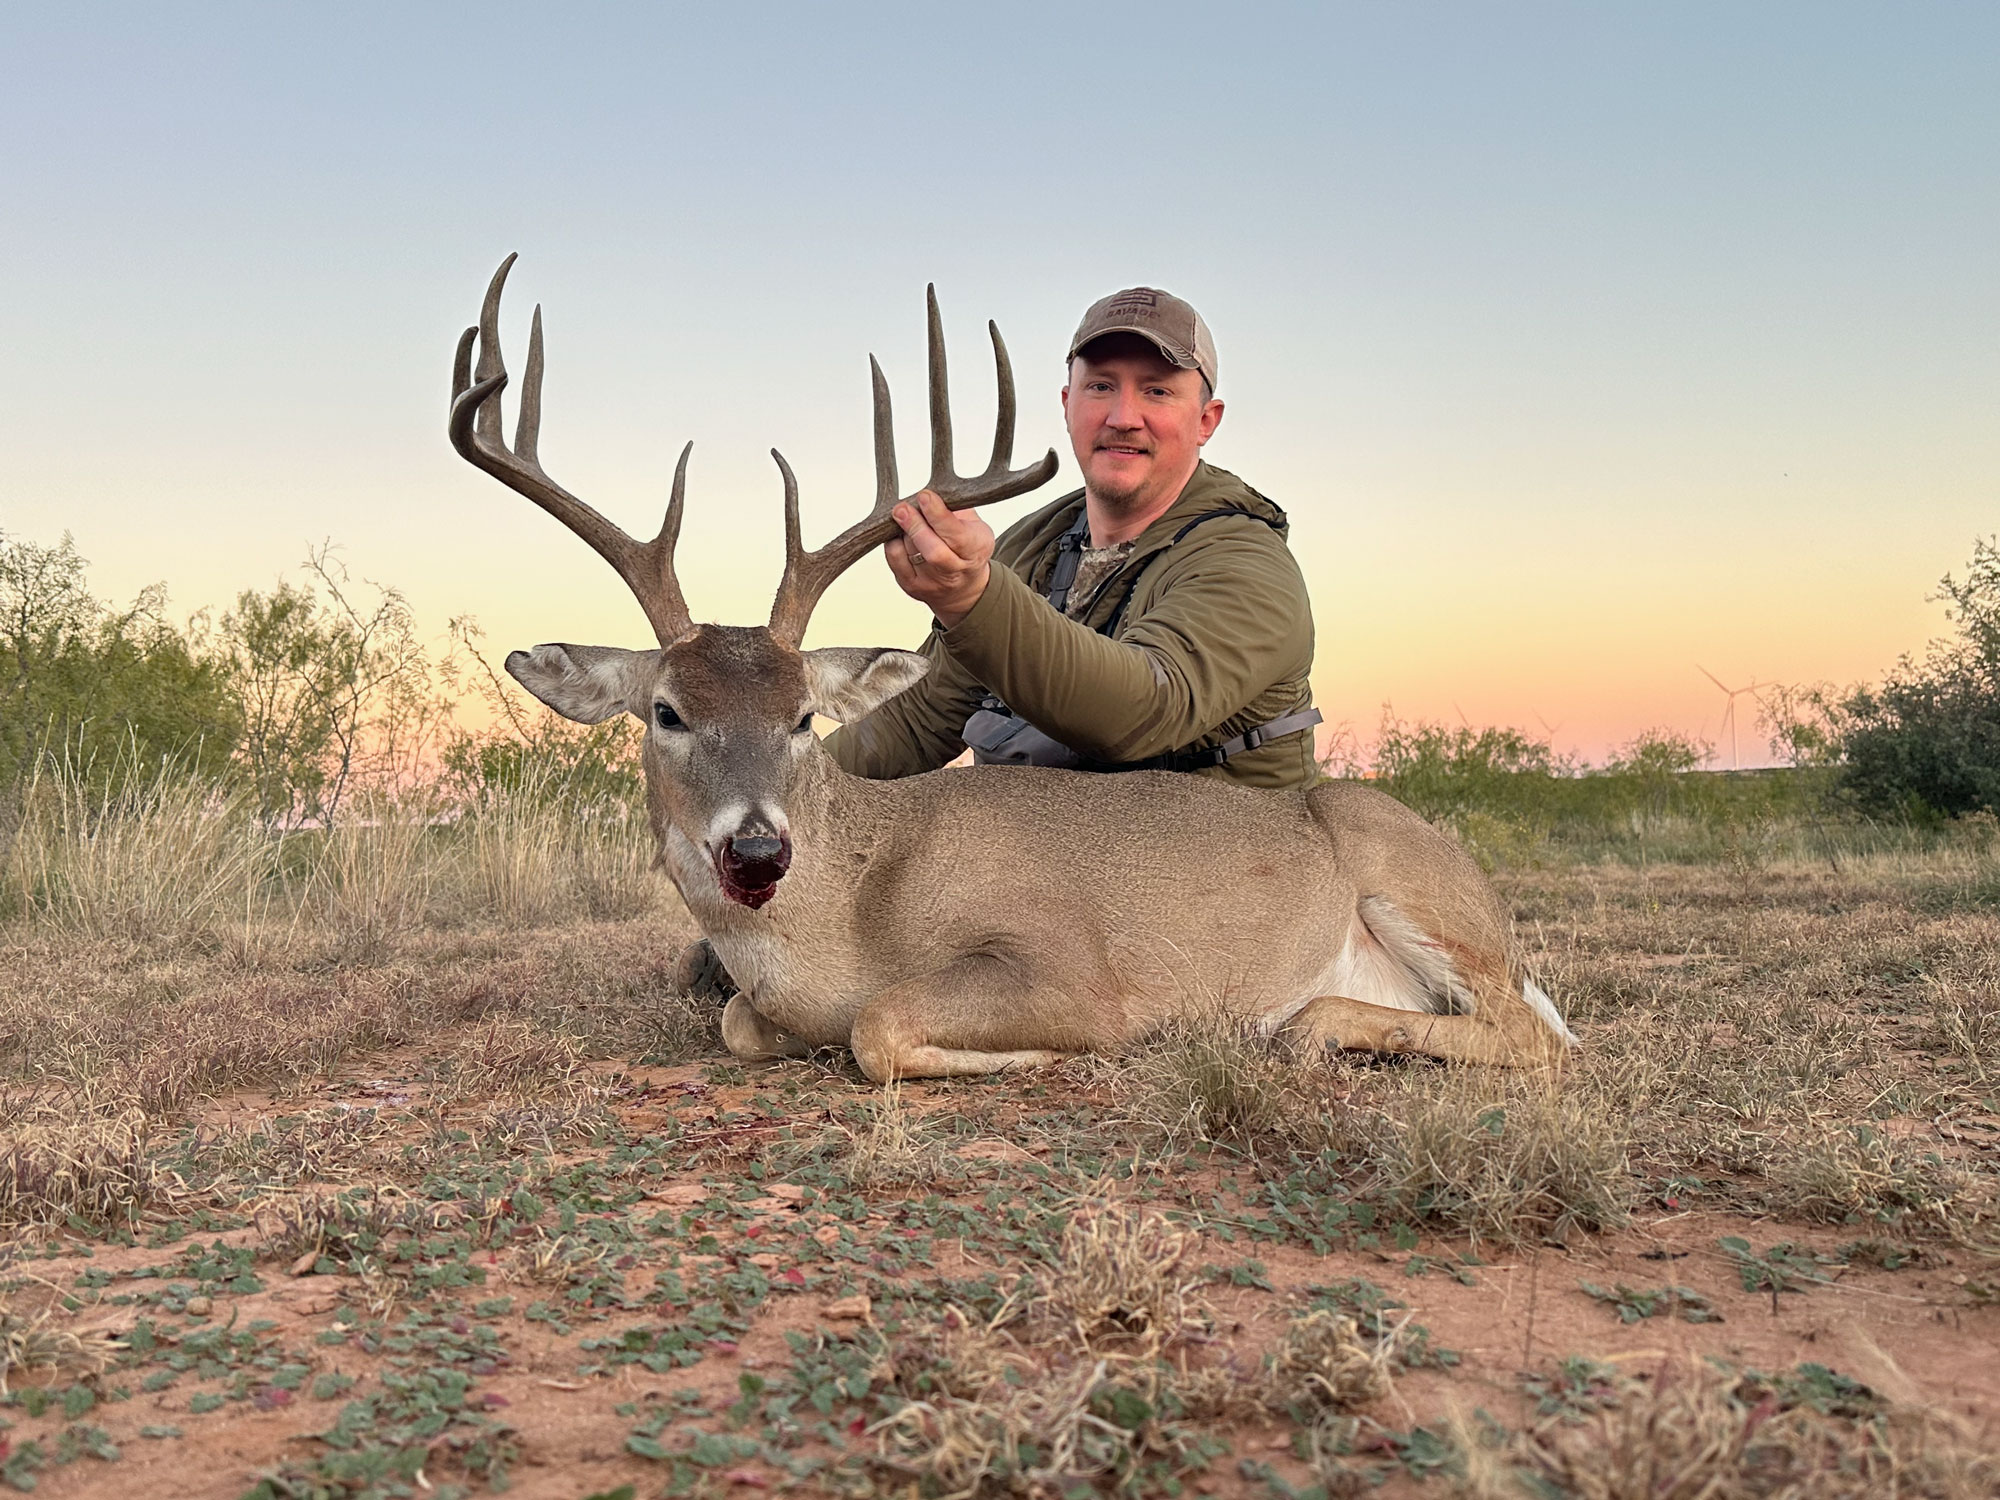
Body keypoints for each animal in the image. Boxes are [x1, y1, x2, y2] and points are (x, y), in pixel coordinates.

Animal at [448, 255, 1577, 1081]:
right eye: (667, 712)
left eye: (805, 716)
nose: (759, 850)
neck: (847, 920)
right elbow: (740, 1024)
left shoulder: (1064, 963)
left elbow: (879, 1031)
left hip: (1408, 874)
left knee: (1538, 1034)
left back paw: (1302, 1021)